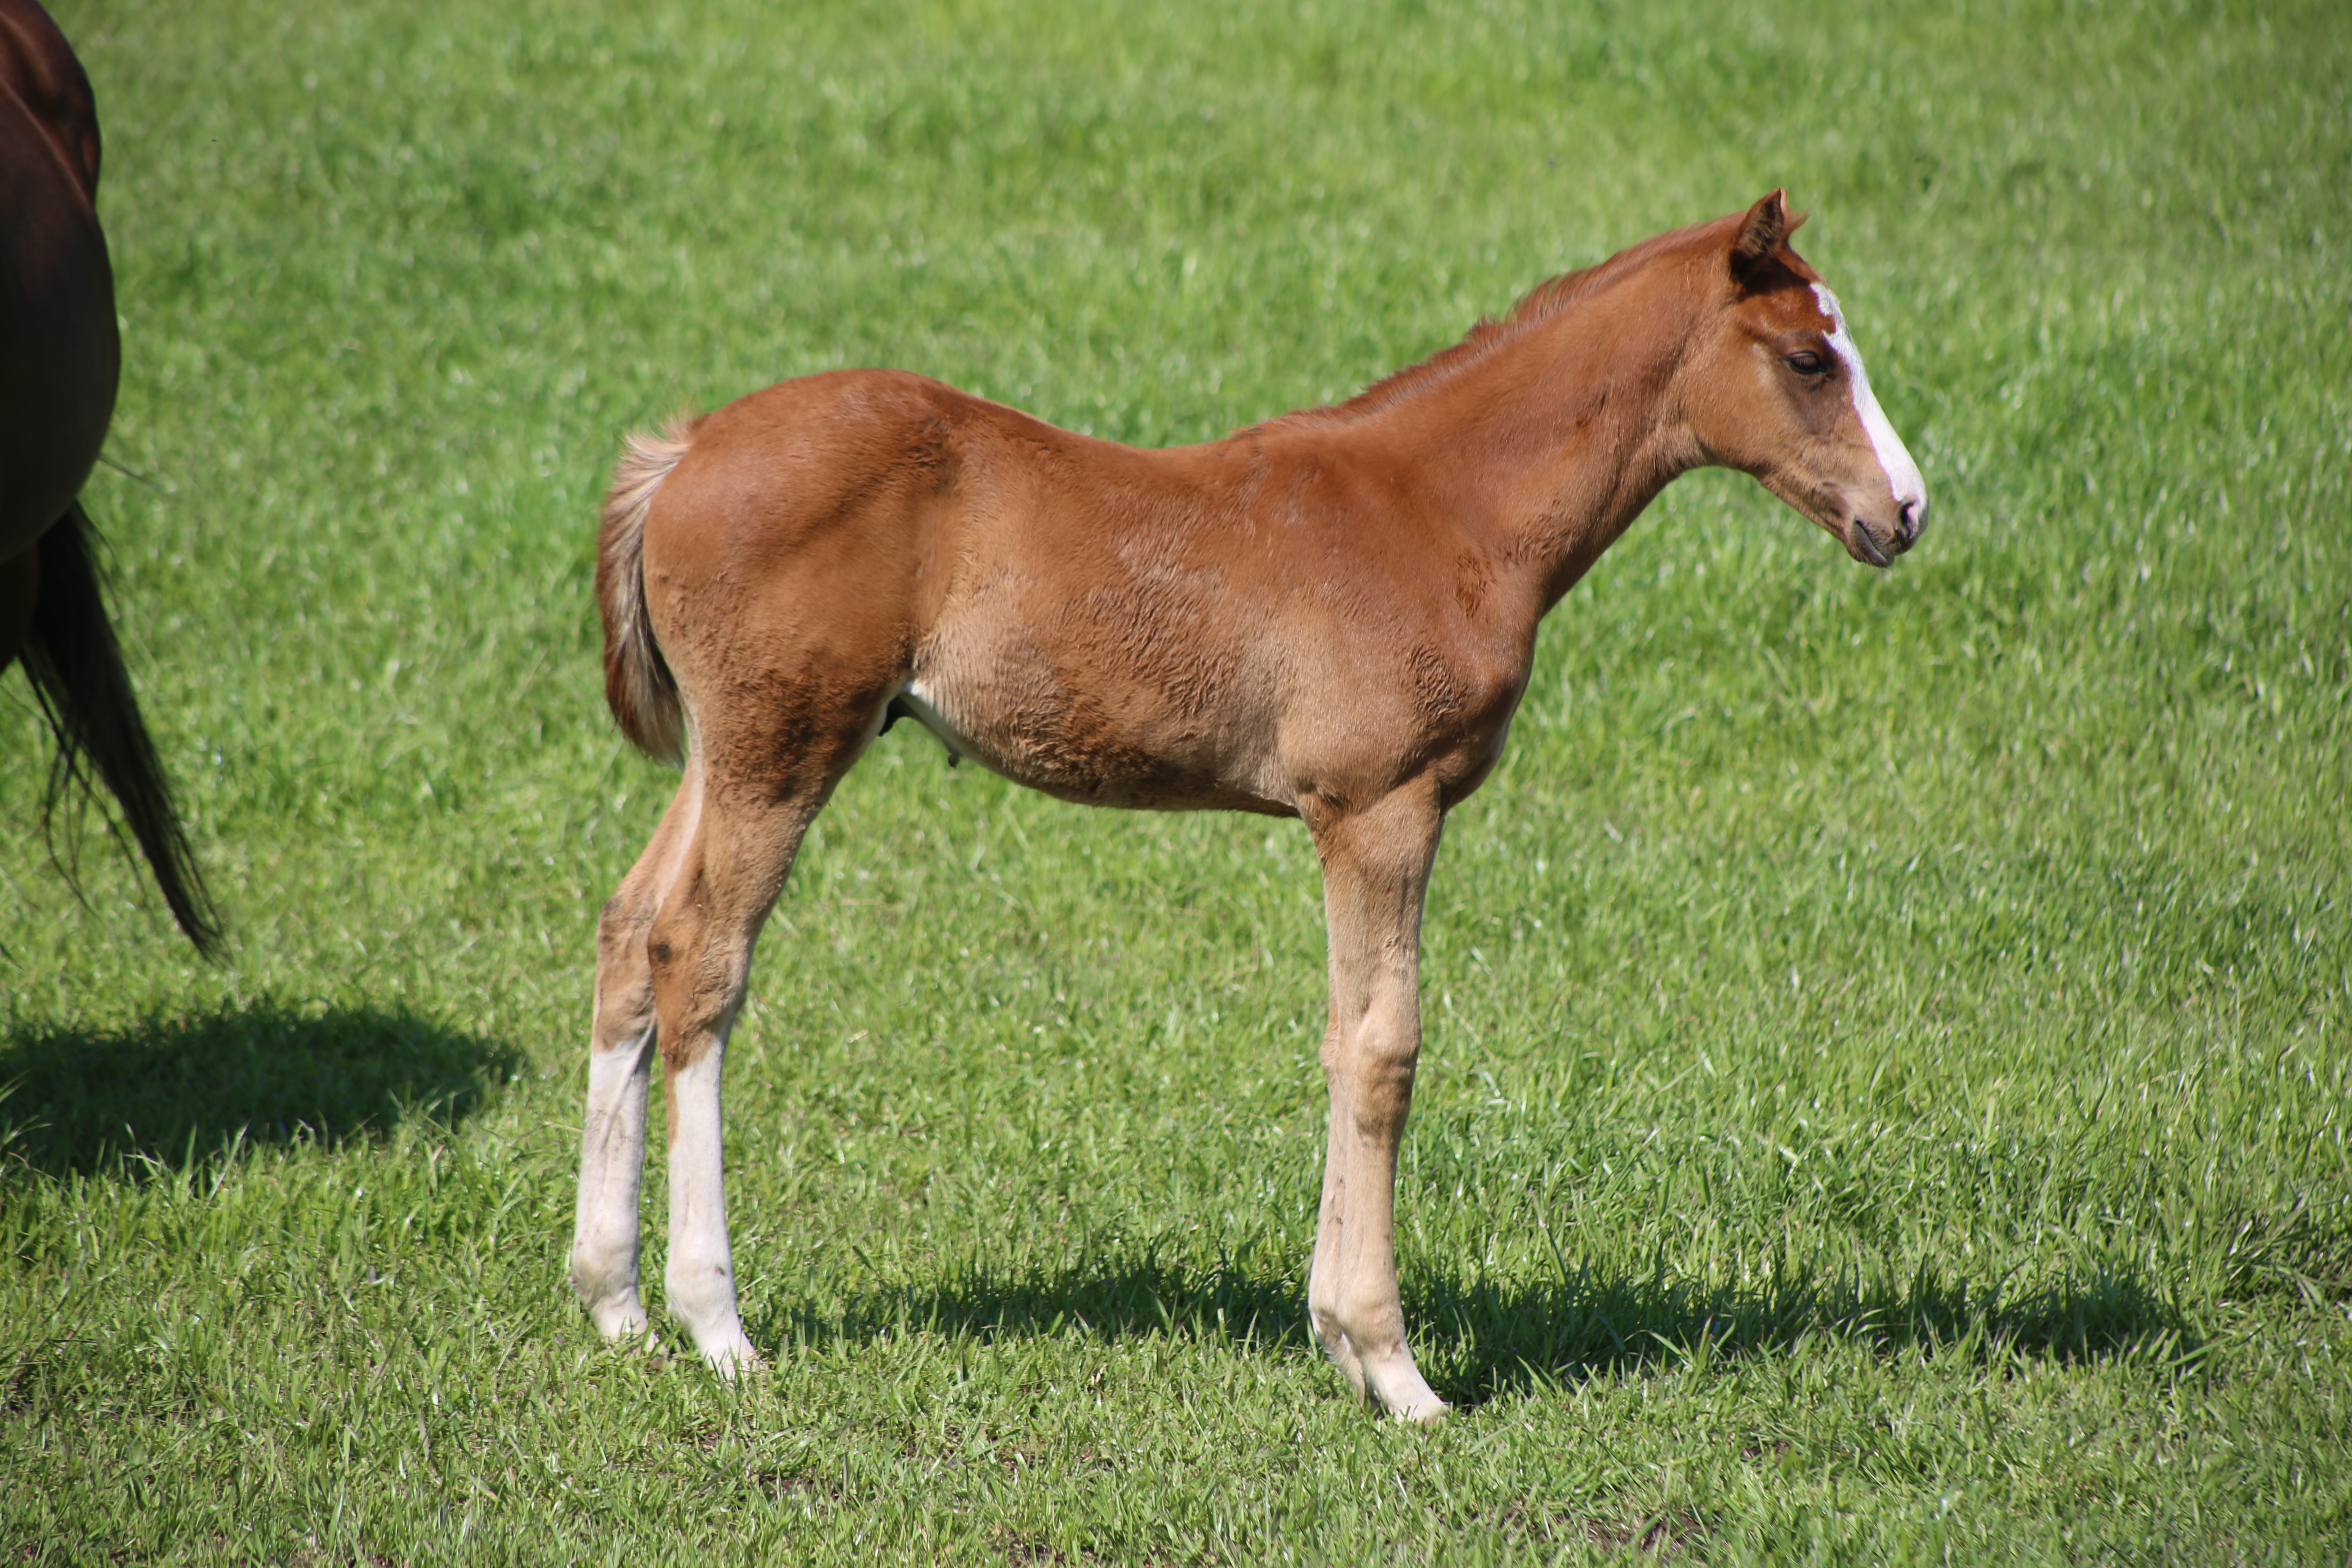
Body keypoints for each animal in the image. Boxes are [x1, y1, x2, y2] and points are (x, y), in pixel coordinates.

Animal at [574, 190, 1929, 1420]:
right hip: (784, 750)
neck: (1444, 511)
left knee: (631, 934)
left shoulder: (1348, 821)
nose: (1907, 510)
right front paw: (1394, 1367)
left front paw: (1335, 1337)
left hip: (724, 756)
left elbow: (1338, 1035)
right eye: (1809, 358)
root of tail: (684, 453)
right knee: (702, 957)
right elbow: (1384, 1049)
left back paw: (615, 1303)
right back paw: (717, 1325)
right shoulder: (1381, 807)